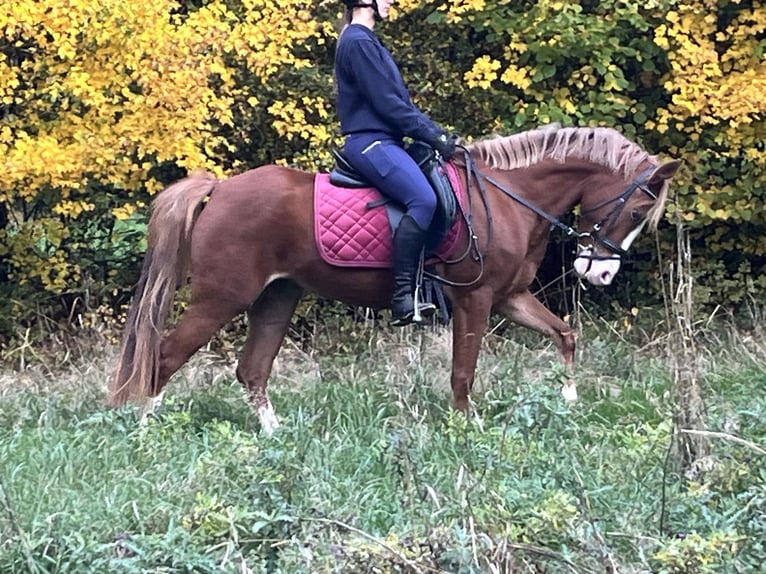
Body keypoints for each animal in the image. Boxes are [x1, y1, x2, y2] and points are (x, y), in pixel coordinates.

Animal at [109, 124, 681, 432]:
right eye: (636, 211)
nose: (598, 271)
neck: (508, 197)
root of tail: (221, 189)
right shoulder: (476, 300)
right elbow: (463, 371)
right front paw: (465, 426)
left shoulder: (511, 297)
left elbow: (565, 334)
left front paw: (569, 398)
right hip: (220, 298)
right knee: (162, 357)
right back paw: (144, 430)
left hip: (276, 296)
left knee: (251, 370)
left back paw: (275, 435)